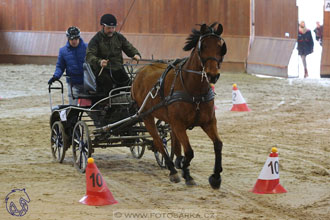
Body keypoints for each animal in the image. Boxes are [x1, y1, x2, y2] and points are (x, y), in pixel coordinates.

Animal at [131, 23, 227, 189]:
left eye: (220, 46)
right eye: (203, 46)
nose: (212, 75)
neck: (194, 91)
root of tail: (140, 72)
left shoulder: (208, 122)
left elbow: (218, 145)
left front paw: (215, 177)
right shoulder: (179, 124)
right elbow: (189, 152)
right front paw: (184, 169)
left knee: (172, 143)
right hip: (147, 116)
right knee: (158, 142)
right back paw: (173, 170)